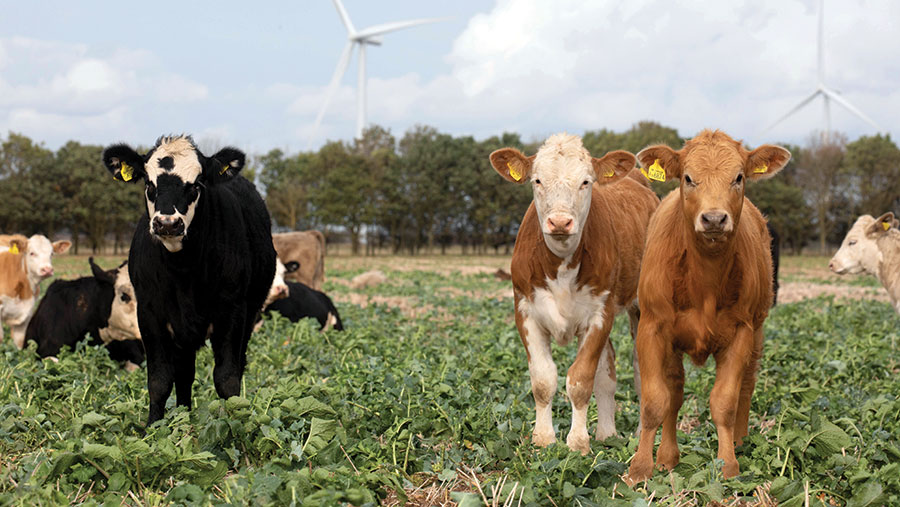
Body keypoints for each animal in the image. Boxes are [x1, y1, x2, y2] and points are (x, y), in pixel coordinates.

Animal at [100, 135, 272, 424]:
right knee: (183, 375)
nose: (168, 223)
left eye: (197, 183)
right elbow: (159, 380)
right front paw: (153, 429)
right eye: (149, 183)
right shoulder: (149, 314)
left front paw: (235, 428)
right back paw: (183, 416)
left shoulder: (233, 312)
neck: (183, 271)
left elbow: (227, 379)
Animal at [488, 133, 656, 454]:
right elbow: (543, 380)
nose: (560, 222)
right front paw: (543, 438)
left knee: (643, 371)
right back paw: (607, 433)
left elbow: (580, 380)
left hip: (641, 307)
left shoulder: (600, 315)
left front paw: (577, 442)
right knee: (608, 369)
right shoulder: (525, 311)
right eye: (537, 180)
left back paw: (641, 435)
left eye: (585, 182)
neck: (561, 264)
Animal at [624, 130, 788, 484]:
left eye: (738, 177)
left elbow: (725, 401)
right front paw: (640, 469)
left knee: (747, 385)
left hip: (758, 331)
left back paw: (740, 442)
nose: (714, 218)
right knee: (674, 390)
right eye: (688, 178)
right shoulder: (652, 328)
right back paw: (667, 457)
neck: (705, 281)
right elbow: (655, 401)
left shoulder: (741, 332)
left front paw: (728, 465)